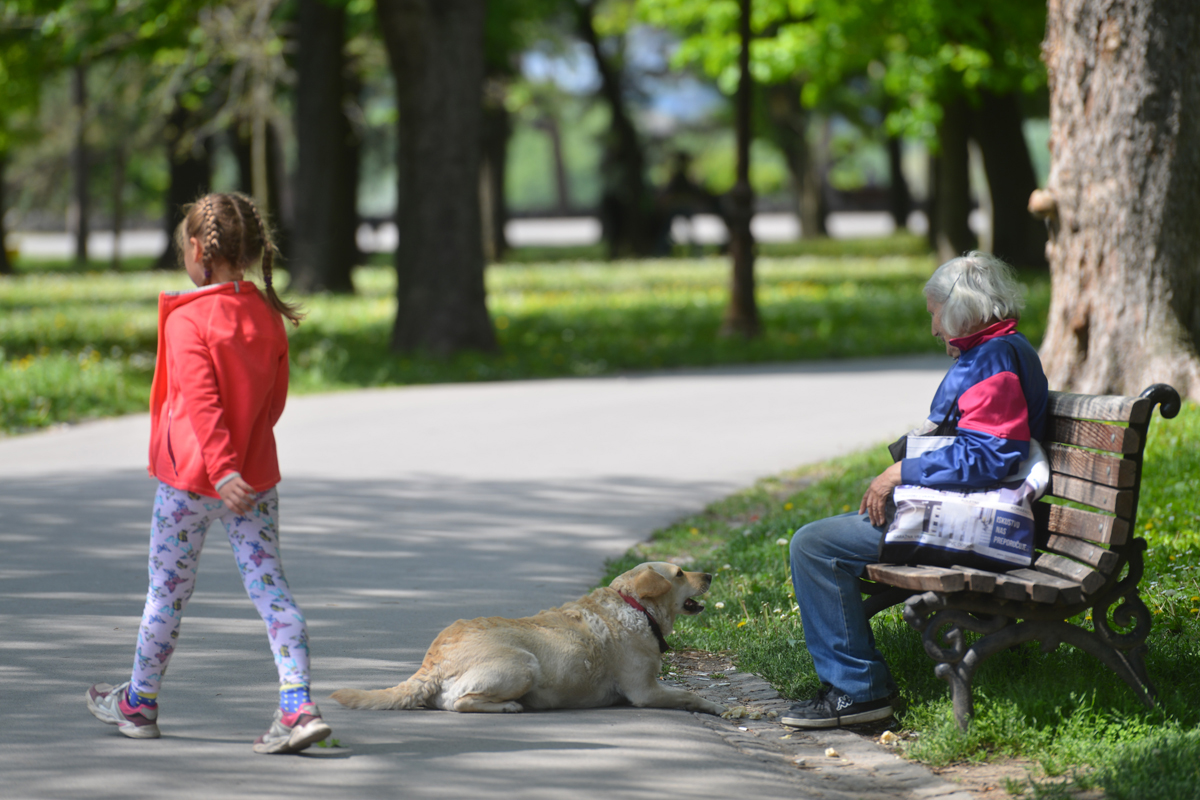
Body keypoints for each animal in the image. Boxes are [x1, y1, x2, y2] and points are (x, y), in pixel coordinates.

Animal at [328, 563, 720, 714]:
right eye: (680, 572)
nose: (711, 575)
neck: (635, 606)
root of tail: (432, 661)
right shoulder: (644, 691)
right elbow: (689, 694)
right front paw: (717, 707)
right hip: (524, 665)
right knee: (459, 702)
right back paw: (508, 706)